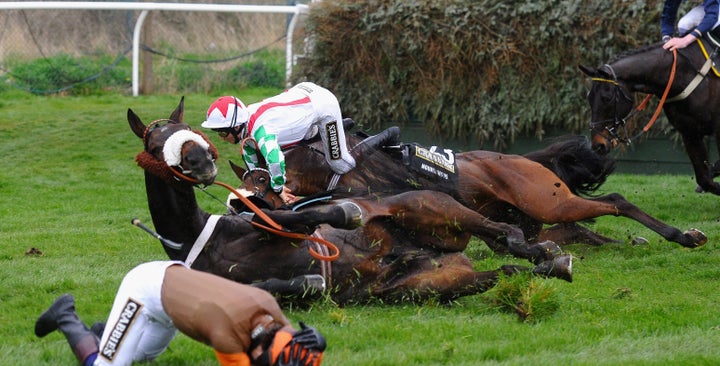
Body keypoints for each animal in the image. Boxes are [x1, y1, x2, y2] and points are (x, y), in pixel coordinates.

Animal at [126, 98, 572, 306]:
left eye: (186, 128)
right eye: (153, 141)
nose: (200, 160)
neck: (194, 235)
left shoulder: (281, 217)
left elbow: (287, 217)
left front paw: (344, 212)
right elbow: (272, 284)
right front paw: (308, 281)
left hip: (430, 206)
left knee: (507, 233)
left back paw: (548, 252)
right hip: (419, 286)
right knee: (507, 270)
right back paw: (549, 264)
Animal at [278, 126, 704, 249]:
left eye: (292, 153)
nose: (280, 185)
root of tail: (526, 160)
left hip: (547, 201)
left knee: (614, 199)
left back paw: (681, 235)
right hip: (533, 216)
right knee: (573, 229)